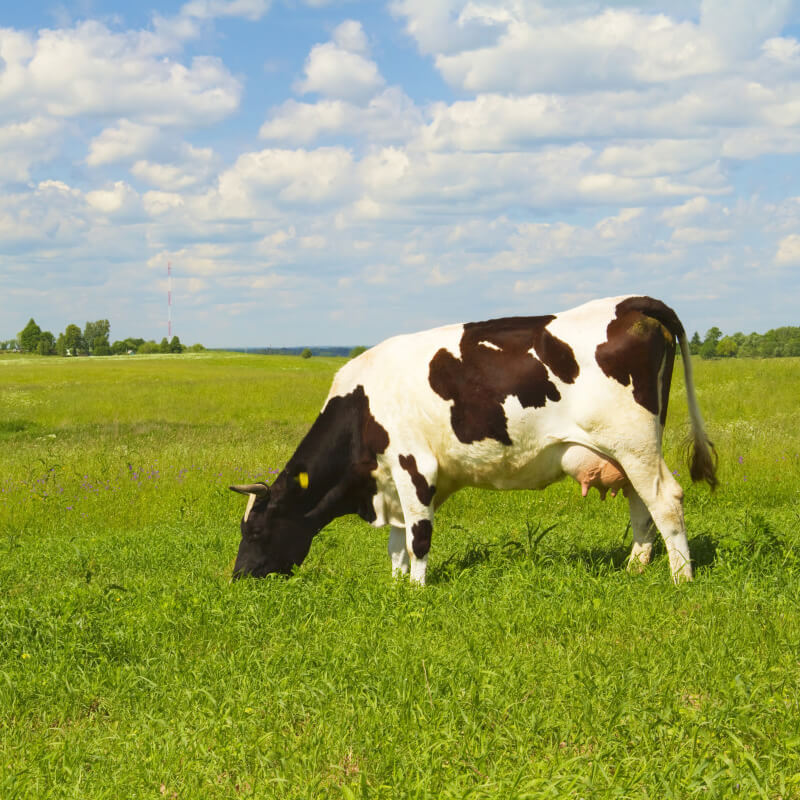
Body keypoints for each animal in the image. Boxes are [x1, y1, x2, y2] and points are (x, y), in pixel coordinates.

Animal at [231, 296, 720, 584]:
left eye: (255, 529)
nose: (237, 577)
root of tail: (632, 303)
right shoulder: (389, 478)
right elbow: (397, 540)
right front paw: (395, 584)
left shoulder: (414, 465)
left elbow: (418, 535)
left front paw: (416, 589)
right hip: (626, 451)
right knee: (641, 504)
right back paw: (635, 567)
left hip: (634, 442)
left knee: (666, 500)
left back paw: (681, 577)